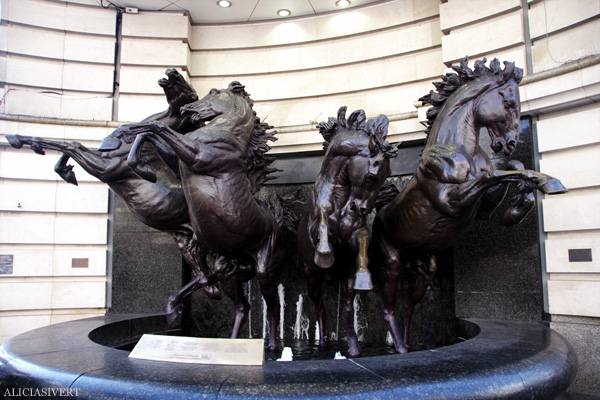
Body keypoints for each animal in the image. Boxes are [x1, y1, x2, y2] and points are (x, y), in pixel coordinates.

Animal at [125, 82, 284, 350]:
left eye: (212, 92)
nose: (187, 108)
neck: (226, 131)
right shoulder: (178, 160)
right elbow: (151, 135)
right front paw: (139, 163)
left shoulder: (198, 156)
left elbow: (158, 127)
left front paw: (140, 158)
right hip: (228, 269)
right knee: (242, 306)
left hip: (265, 271)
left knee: (273, 307)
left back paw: (272, 347)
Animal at [296, 106, 398, 356]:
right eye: (371, 176)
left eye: (385, 177)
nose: (362, 209)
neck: (341, 199)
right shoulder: (317, 227)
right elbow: (323, 222)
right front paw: (324, 254)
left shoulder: (353, 236)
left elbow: (363, 237)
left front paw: (365, 275)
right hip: (311, 279)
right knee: (321, 310)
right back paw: (323, 345)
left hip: (345, 279)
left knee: (347, 312)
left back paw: (353, 350)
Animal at [376, 58, 568, 354]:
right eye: (509, 103)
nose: (509, 143)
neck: (455, 148)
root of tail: (379, 211)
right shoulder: (452, 201)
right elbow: (494, 174)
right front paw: (548, 182)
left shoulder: (482, 210)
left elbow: (512, 167)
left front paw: (517, 209)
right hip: (392, 263)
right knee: (388, 310)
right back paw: (401, 349)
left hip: (423, 269)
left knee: (408, 308)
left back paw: (407, 346)